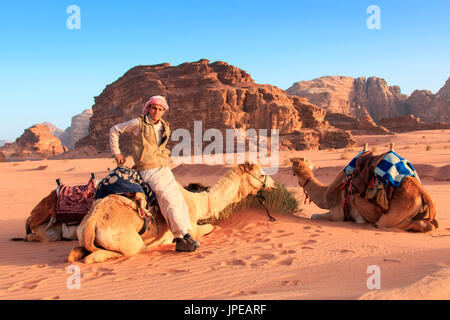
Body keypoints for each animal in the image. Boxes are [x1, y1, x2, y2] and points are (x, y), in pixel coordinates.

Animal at [68, 164, 276, 264]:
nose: (273, 184)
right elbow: (210, 227)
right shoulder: (190, 226)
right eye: (261, 173)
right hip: (128, 241)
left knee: (78, 253)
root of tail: (92, 221)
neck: (198, 201)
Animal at [290, 156, 438, 232]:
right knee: (431, 224)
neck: (328, 195)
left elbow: (314, 216)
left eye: (293, 173)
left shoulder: (340, 213)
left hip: (395, 212)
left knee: (386, 224)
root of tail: (422, 193)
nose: (301, 182)